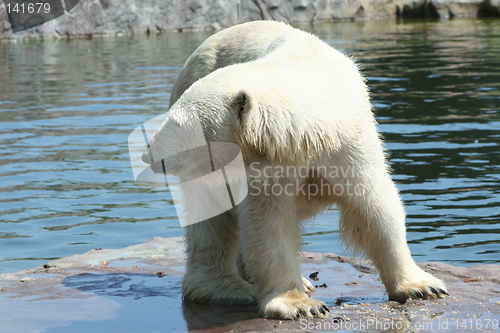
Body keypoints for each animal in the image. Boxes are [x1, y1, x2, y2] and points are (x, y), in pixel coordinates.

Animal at [142, 18, 450, 320]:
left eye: (178, 125)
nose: (149, 153)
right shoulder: (266, 166)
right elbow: (269, 224)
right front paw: (299, 305)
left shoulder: (350, 142)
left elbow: (374, 206)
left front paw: (422, 287)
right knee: (210, 214)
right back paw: (227, 288)